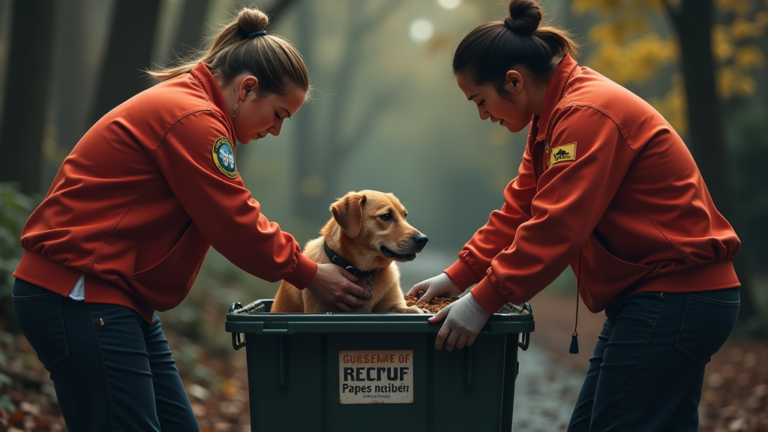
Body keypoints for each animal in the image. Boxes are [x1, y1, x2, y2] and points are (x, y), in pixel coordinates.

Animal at [270, 190, 426, 314]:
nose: (424, 239)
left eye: (405, 215)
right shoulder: (320, 309)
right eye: (386, 216)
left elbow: (410, 309)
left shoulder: (393, 304)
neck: (365, 272)